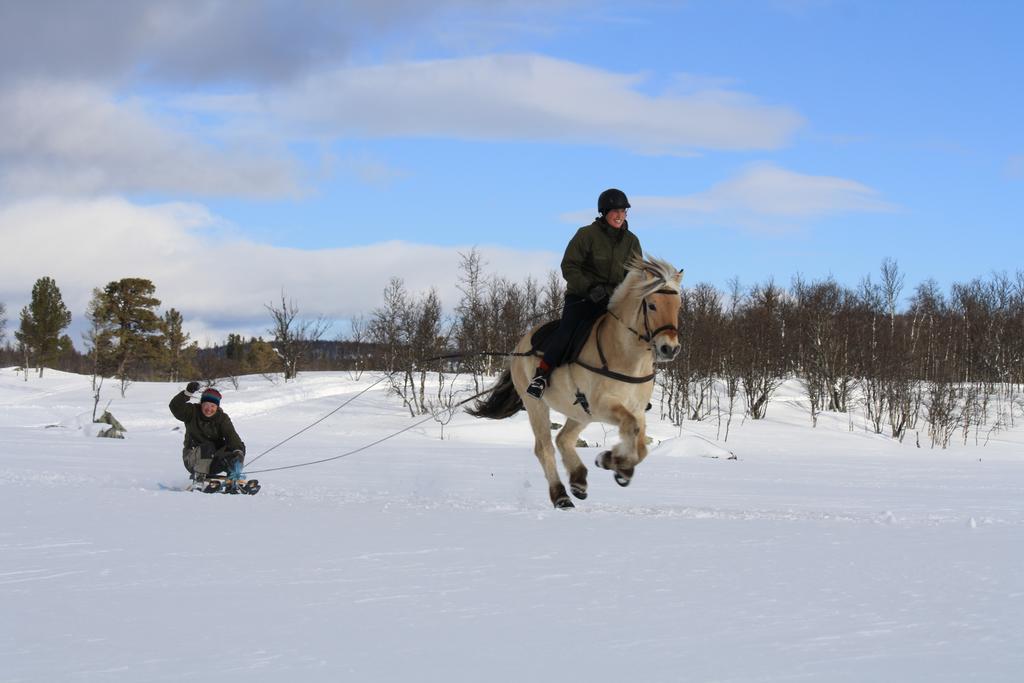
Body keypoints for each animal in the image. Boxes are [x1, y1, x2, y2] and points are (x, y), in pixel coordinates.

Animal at [468, 254, 679, 507]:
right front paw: (613, 461)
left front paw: (616, 464)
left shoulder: (636, 409)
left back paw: (578, 480)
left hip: (580, 413)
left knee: (563, 439)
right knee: (545, 447)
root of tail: (519, 347)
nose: (670, 348)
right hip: (537, 405)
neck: (627, 357)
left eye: (678, 306)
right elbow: (631, 427)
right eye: (652, 305)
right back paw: (561, 495)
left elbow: (641, 445)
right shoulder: (602, 405)